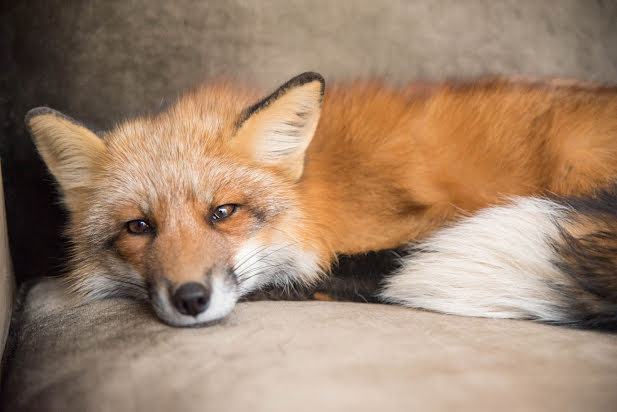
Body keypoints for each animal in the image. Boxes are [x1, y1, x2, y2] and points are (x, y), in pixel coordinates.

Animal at [26, 71, 616, 328]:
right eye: (138, 227)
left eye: (224, 212)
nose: (191, 298)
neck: (316, 197)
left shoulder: (430, 223)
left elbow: (330, 275)